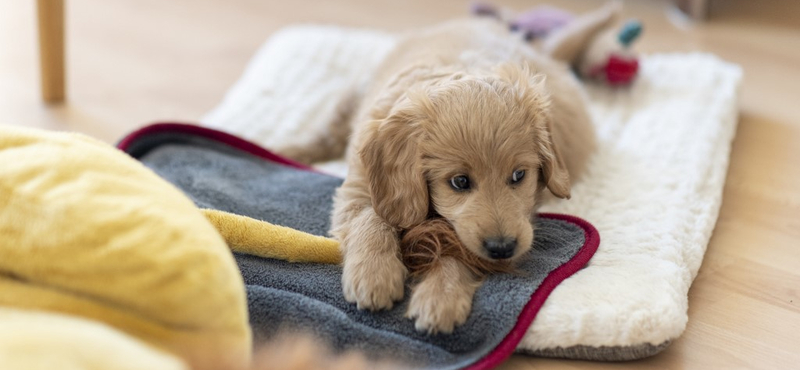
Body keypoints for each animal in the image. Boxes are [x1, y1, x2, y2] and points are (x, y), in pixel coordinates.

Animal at [278, 18, 596, 336]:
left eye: (519, 175)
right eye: (460, 182)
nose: (503, 248)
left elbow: (458, 248)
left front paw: (441, 296)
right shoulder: (360, 186)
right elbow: (371, 219)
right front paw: (374, 274)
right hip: (356, 93)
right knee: (326, 135)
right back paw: (287, 149)